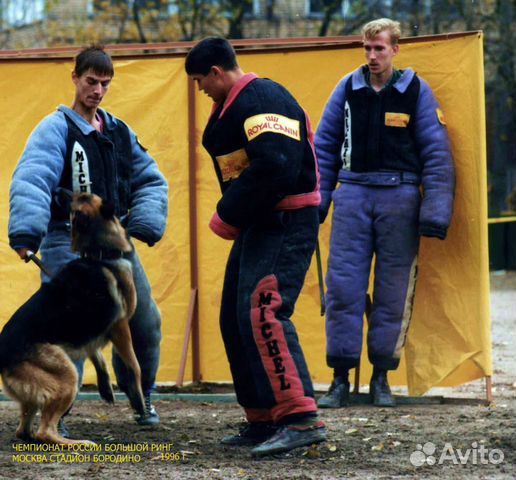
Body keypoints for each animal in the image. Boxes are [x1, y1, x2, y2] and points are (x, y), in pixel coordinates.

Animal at [0, 192, 145, 446]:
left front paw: (105, 386)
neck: (98, 255)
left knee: (24, 430)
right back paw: (77, 443)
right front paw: (138, 400)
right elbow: (134, 366)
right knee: (45, 430)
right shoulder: (120, 326)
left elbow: (96, 355)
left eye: (82, 195)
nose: (59, 190)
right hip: (68, 376)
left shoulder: (92, 330)